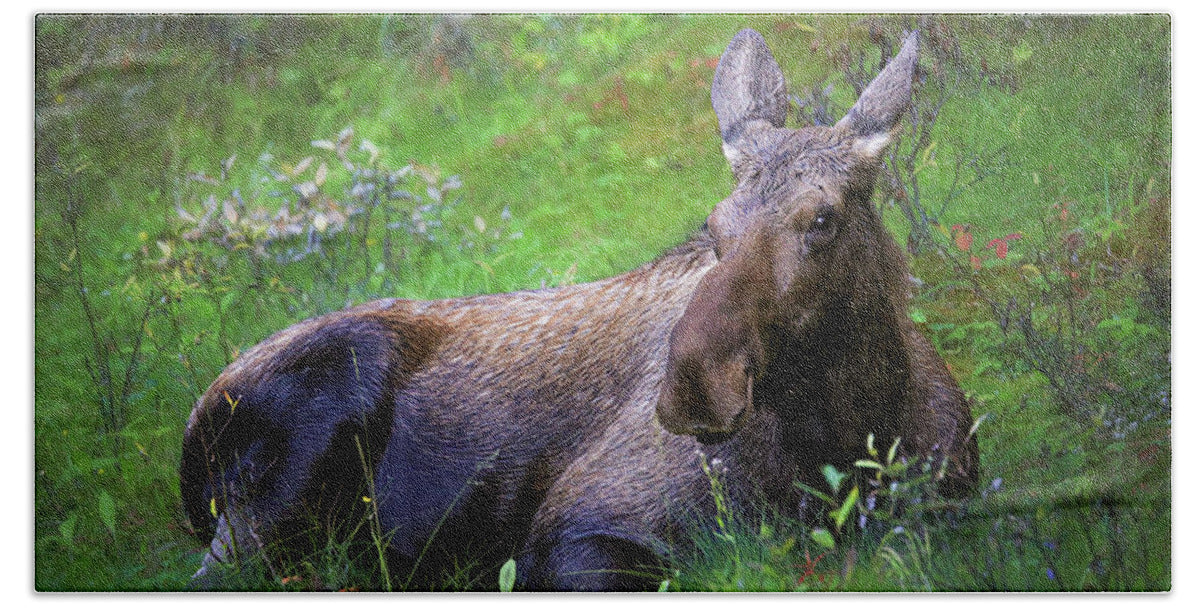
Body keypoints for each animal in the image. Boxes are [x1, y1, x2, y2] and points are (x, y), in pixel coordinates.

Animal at [182, 27, 979, 590]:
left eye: (822, 218)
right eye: (714, 225)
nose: (694, 383)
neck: (856, 438)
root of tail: (193, 432)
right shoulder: (576, 530)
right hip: (286, 472)